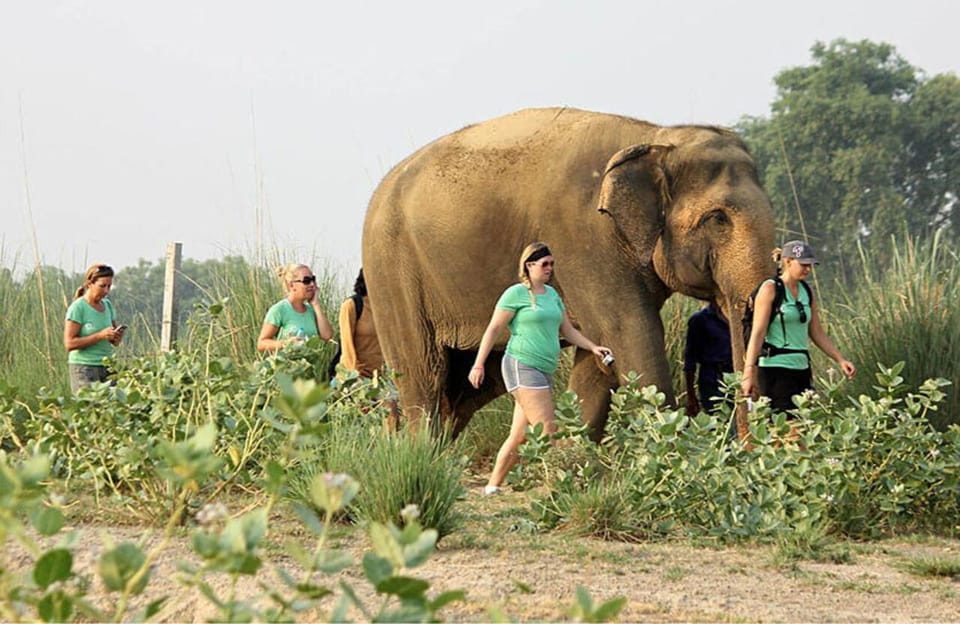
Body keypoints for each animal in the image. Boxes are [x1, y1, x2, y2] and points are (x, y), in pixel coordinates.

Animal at [362, 107, 776, 437]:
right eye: (718, 218)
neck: (653, 137)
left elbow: (599, 355)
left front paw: (570, 459)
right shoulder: (584, 238)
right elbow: (629, 335)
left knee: (469, 385)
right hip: (391, 271)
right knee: (424, 375)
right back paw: (421, 452)